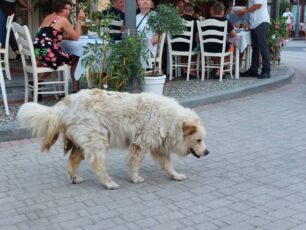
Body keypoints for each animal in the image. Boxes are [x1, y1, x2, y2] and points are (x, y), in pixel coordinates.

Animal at [17, 89, 209, 190]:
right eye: (199, 140)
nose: (207, 152)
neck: (171, 120)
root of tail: (65, 104)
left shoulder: (159, 146)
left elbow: (167, 165)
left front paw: (175, 176)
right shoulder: (140, 144)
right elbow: (134, 163)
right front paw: (135, 178)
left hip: (82, 142)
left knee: (72, 161)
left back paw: (74, 179)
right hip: (97, 140)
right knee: (98, 164)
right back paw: (109, 183)